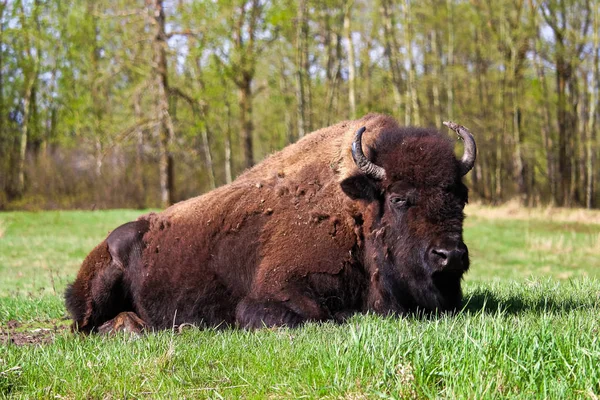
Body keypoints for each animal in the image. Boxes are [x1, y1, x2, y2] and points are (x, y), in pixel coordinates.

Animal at [65, 114, 476, 332]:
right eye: (399, 198)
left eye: (461, 196)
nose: (450, 255)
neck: (355, 213)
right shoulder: (270, 294)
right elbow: (319, 315)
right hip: (98, 288)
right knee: (84, 327)